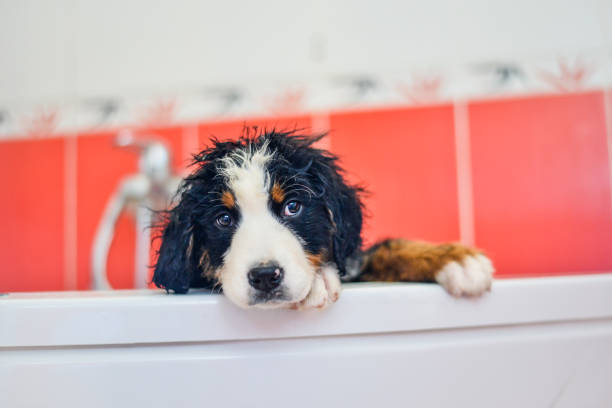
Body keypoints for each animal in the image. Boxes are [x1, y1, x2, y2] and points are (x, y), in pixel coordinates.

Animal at [153, 130, 492, 310]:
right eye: (223, 219)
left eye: (293, 207)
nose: (265, 276)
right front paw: (318, 281)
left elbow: (389, 248)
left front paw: (458, 260)